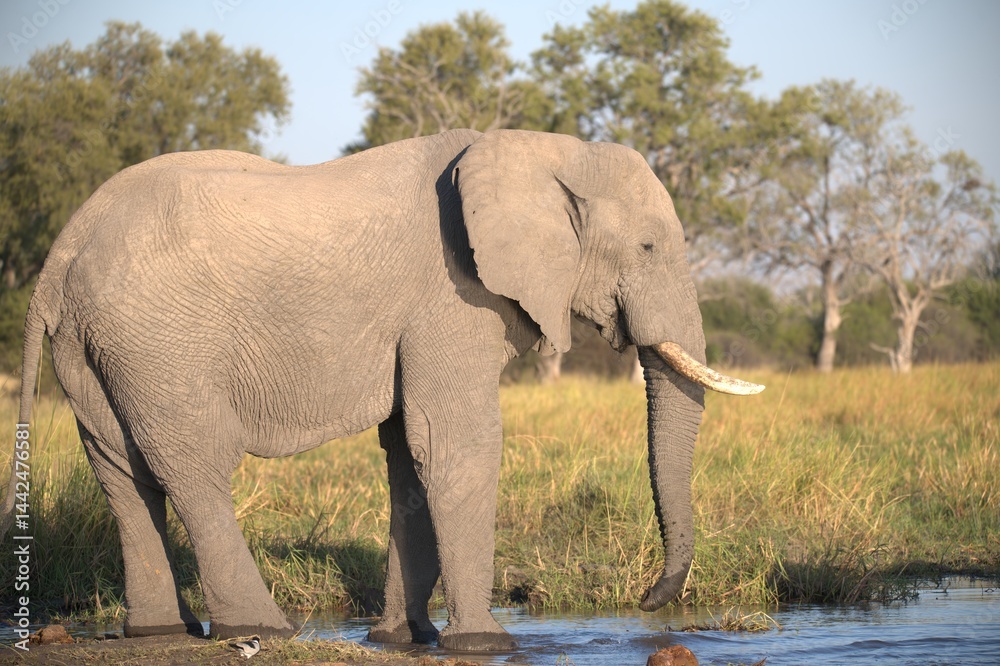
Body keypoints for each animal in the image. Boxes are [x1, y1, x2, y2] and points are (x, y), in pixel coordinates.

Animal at [1, 129, 763, 651]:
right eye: (648, 248)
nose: (650, 600)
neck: (544, 148)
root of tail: (62, 248)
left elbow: (406, 451)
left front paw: (403, 639)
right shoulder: (452, 294)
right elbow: (455, 444)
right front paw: (485, 643)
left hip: (98, 344)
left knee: (122, 473)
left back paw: (160, 633)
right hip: (160, 340)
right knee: (192, 468)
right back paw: (266, 630)